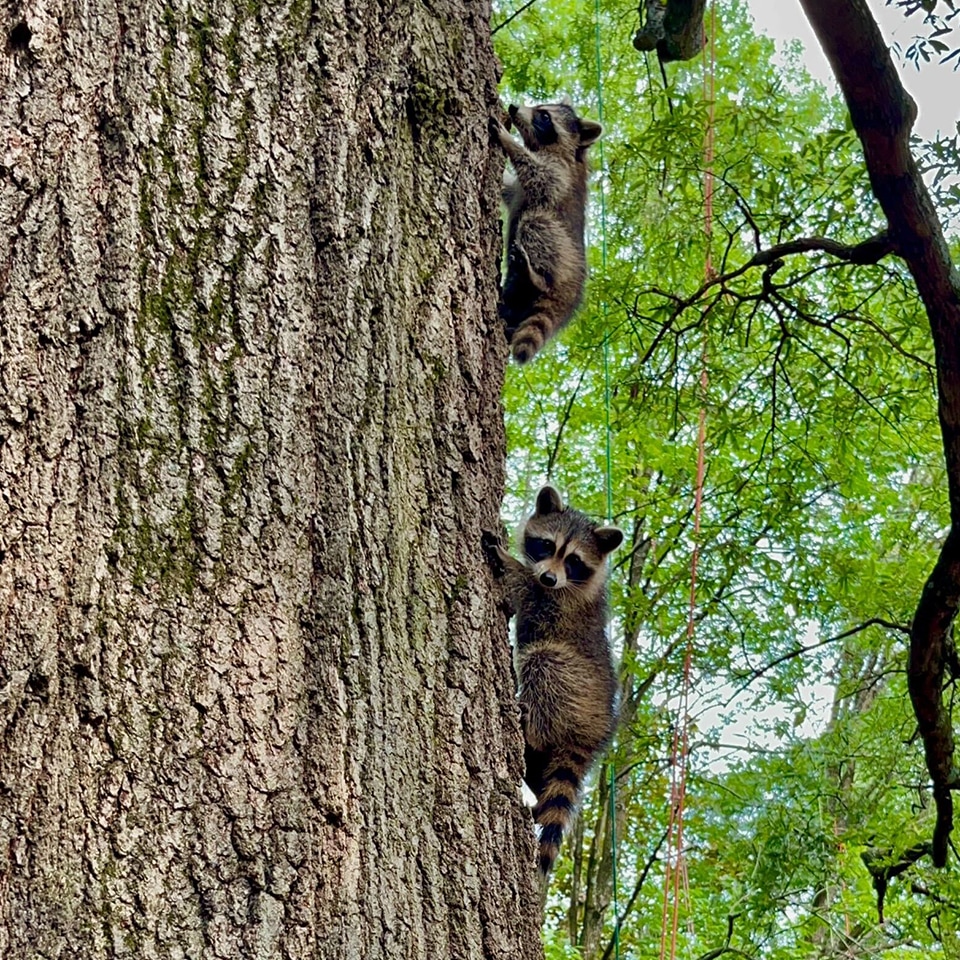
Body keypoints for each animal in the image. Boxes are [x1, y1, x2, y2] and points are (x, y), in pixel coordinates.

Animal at [482, 485, 622, 875]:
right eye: (547, 545)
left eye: (573, 560)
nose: (549, 578)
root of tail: (594, 732)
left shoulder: (558, 603)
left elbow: (526, 591)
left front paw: (506, 559)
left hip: (575, 684)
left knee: (544, 661)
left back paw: (529, 720)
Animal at [490, 102, 603, 364]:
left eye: (544, 116)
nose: (513, 107)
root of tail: (573, 289)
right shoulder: (518, 188)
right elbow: (510, 188)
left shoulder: (561, 173)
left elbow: (541, 177)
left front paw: (509, 141)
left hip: (563, 253)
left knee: (537, 223)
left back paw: (536, 277)